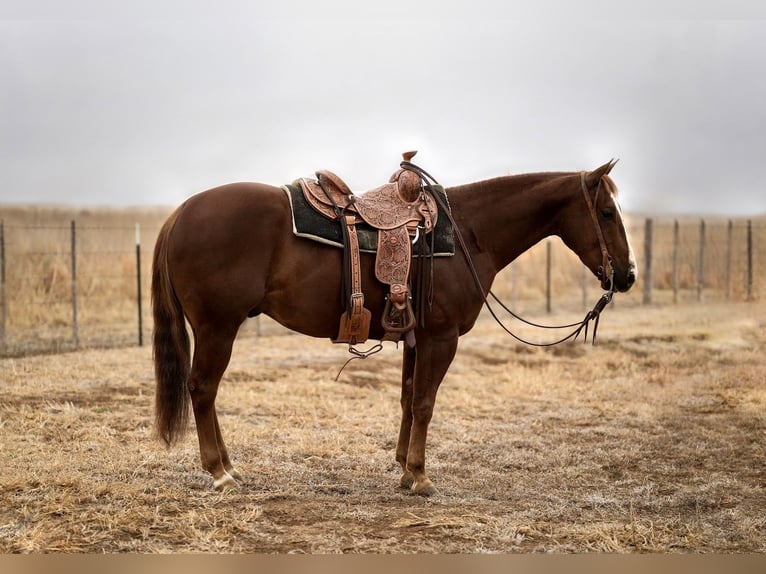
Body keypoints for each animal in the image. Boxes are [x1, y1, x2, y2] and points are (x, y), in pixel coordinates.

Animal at [152, 159, 637, 495]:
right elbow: (425, 403)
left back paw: (229, 466)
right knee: (202, 389)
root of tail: (180, 214)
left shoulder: (416, 338)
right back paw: (219, 472)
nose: (628, 275)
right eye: (606, 212)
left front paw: (403, 465)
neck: (469, 234)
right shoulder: (441, 339)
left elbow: (407, 400)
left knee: (206, 392)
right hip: (218, 328)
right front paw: (420, 476)